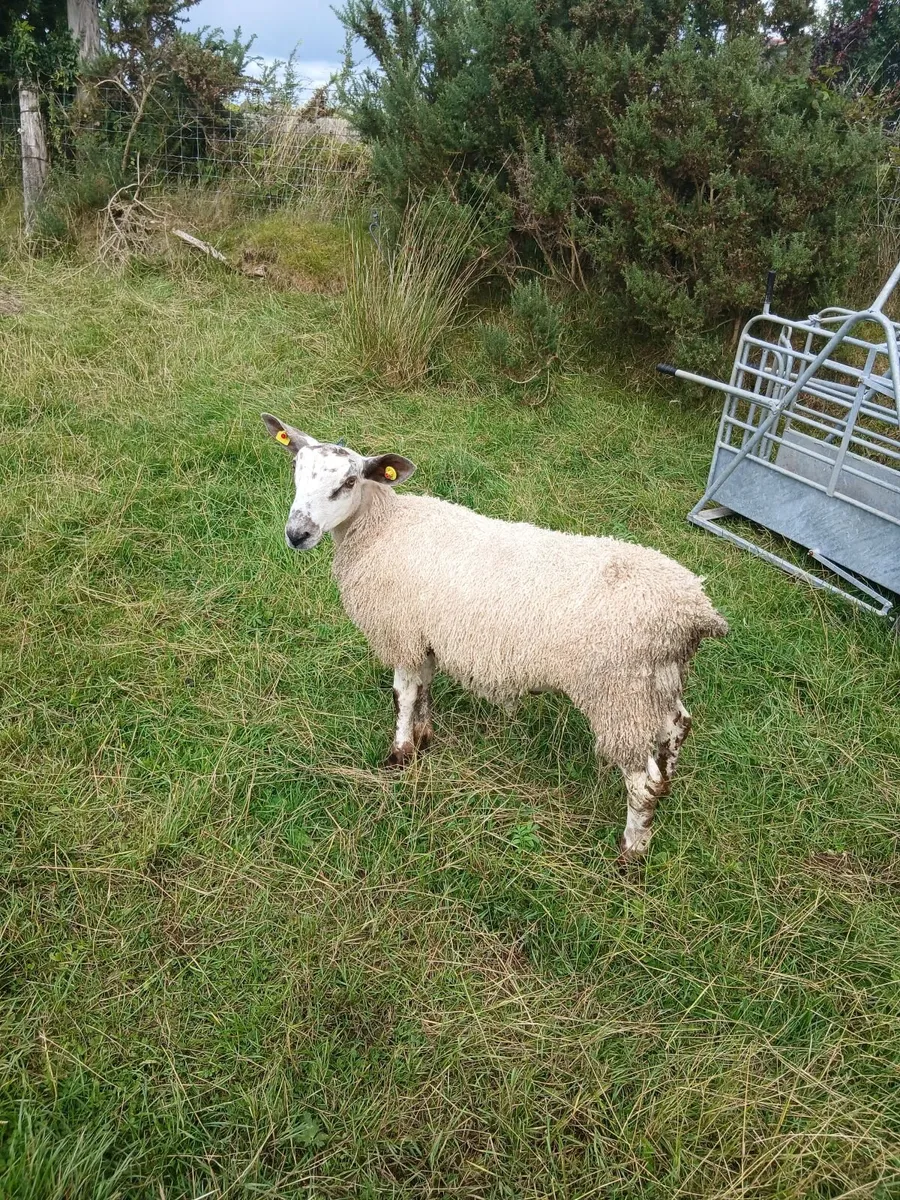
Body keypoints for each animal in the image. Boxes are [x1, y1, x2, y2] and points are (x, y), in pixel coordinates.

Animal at [262, 414, 728, 859]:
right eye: (295, 469)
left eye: (348, 483)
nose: (297, 535)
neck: (383, 527)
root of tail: (695, 610)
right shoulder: (426, 634)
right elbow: (425, 688)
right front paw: (424, 738)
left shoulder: (402, 631)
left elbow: (403, 696)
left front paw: (399, 754)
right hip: (658, 681)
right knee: (677, 730)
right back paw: (666, 790)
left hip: (618, 694)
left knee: (641, 781)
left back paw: (632, 852)